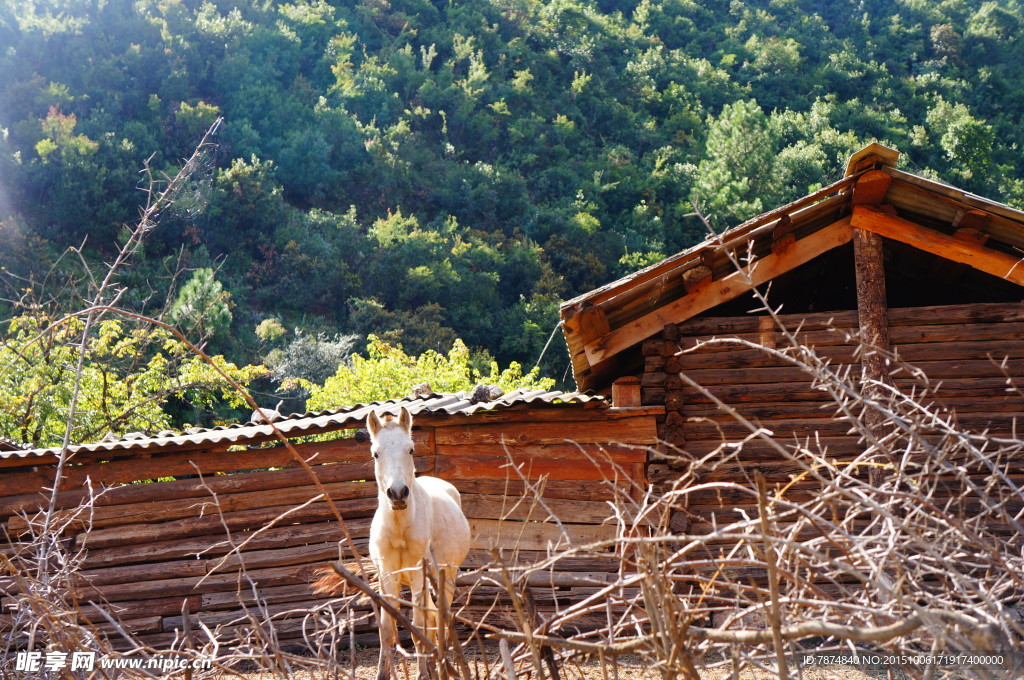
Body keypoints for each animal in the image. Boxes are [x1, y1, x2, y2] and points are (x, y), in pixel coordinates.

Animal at [366, 405, 468, 675]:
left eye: (410, 449)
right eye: (376, 454)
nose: (398, 493)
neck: (401, 528)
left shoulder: (417, 575)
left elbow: (418, 627)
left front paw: (423, 673)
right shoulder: (387, 576)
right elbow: (387, 628)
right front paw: (383, 673)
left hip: (446, 577)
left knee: (439, 621)